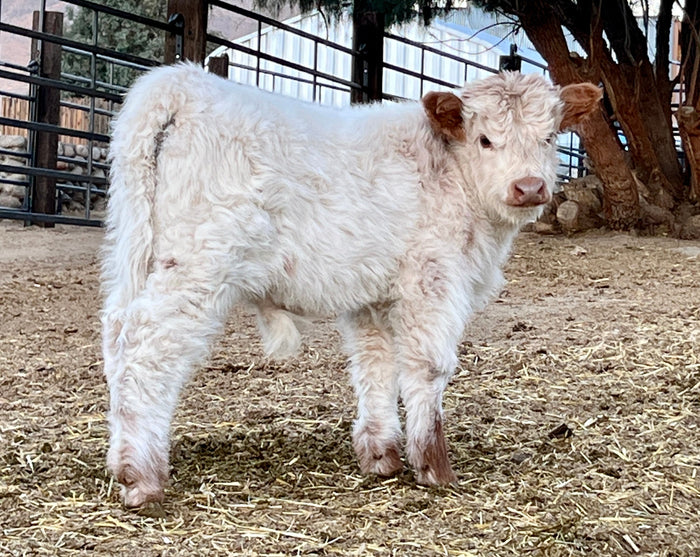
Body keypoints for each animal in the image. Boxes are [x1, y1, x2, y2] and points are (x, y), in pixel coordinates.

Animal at [101, 62, 601, 508]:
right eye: (485, 139)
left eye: (549, 137)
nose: (529, 186)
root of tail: (181, 83)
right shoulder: (433, 281)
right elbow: (428, 367)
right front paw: (434, 466)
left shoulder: (373, 295)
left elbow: (375, 364)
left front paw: (381, 455)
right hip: (196, 267)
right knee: (146, 348)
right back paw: (141, 476)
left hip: (134, 252)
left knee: (116, 334)